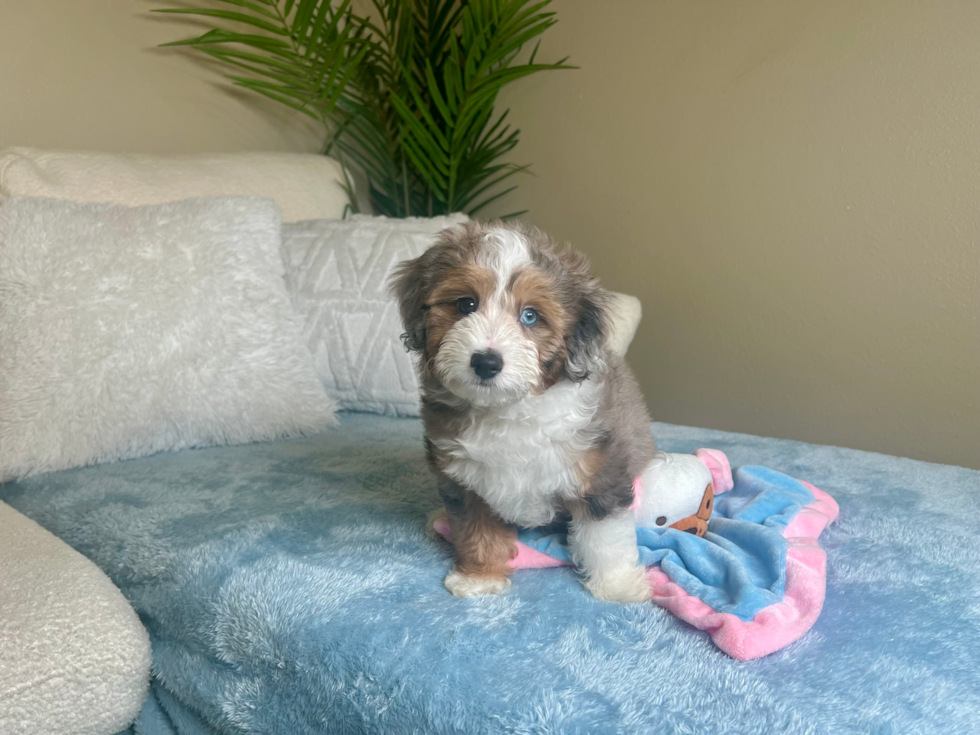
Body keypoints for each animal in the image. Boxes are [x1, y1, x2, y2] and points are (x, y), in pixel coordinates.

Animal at [386, 220, 656, 604]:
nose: (486, 362)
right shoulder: (466, 480)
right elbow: (476, 528)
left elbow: (605, 534)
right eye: (466, 304)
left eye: (530, 316)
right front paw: (480, 577)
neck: (508, 408)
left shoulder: (599, 470)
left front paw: (617, 586)